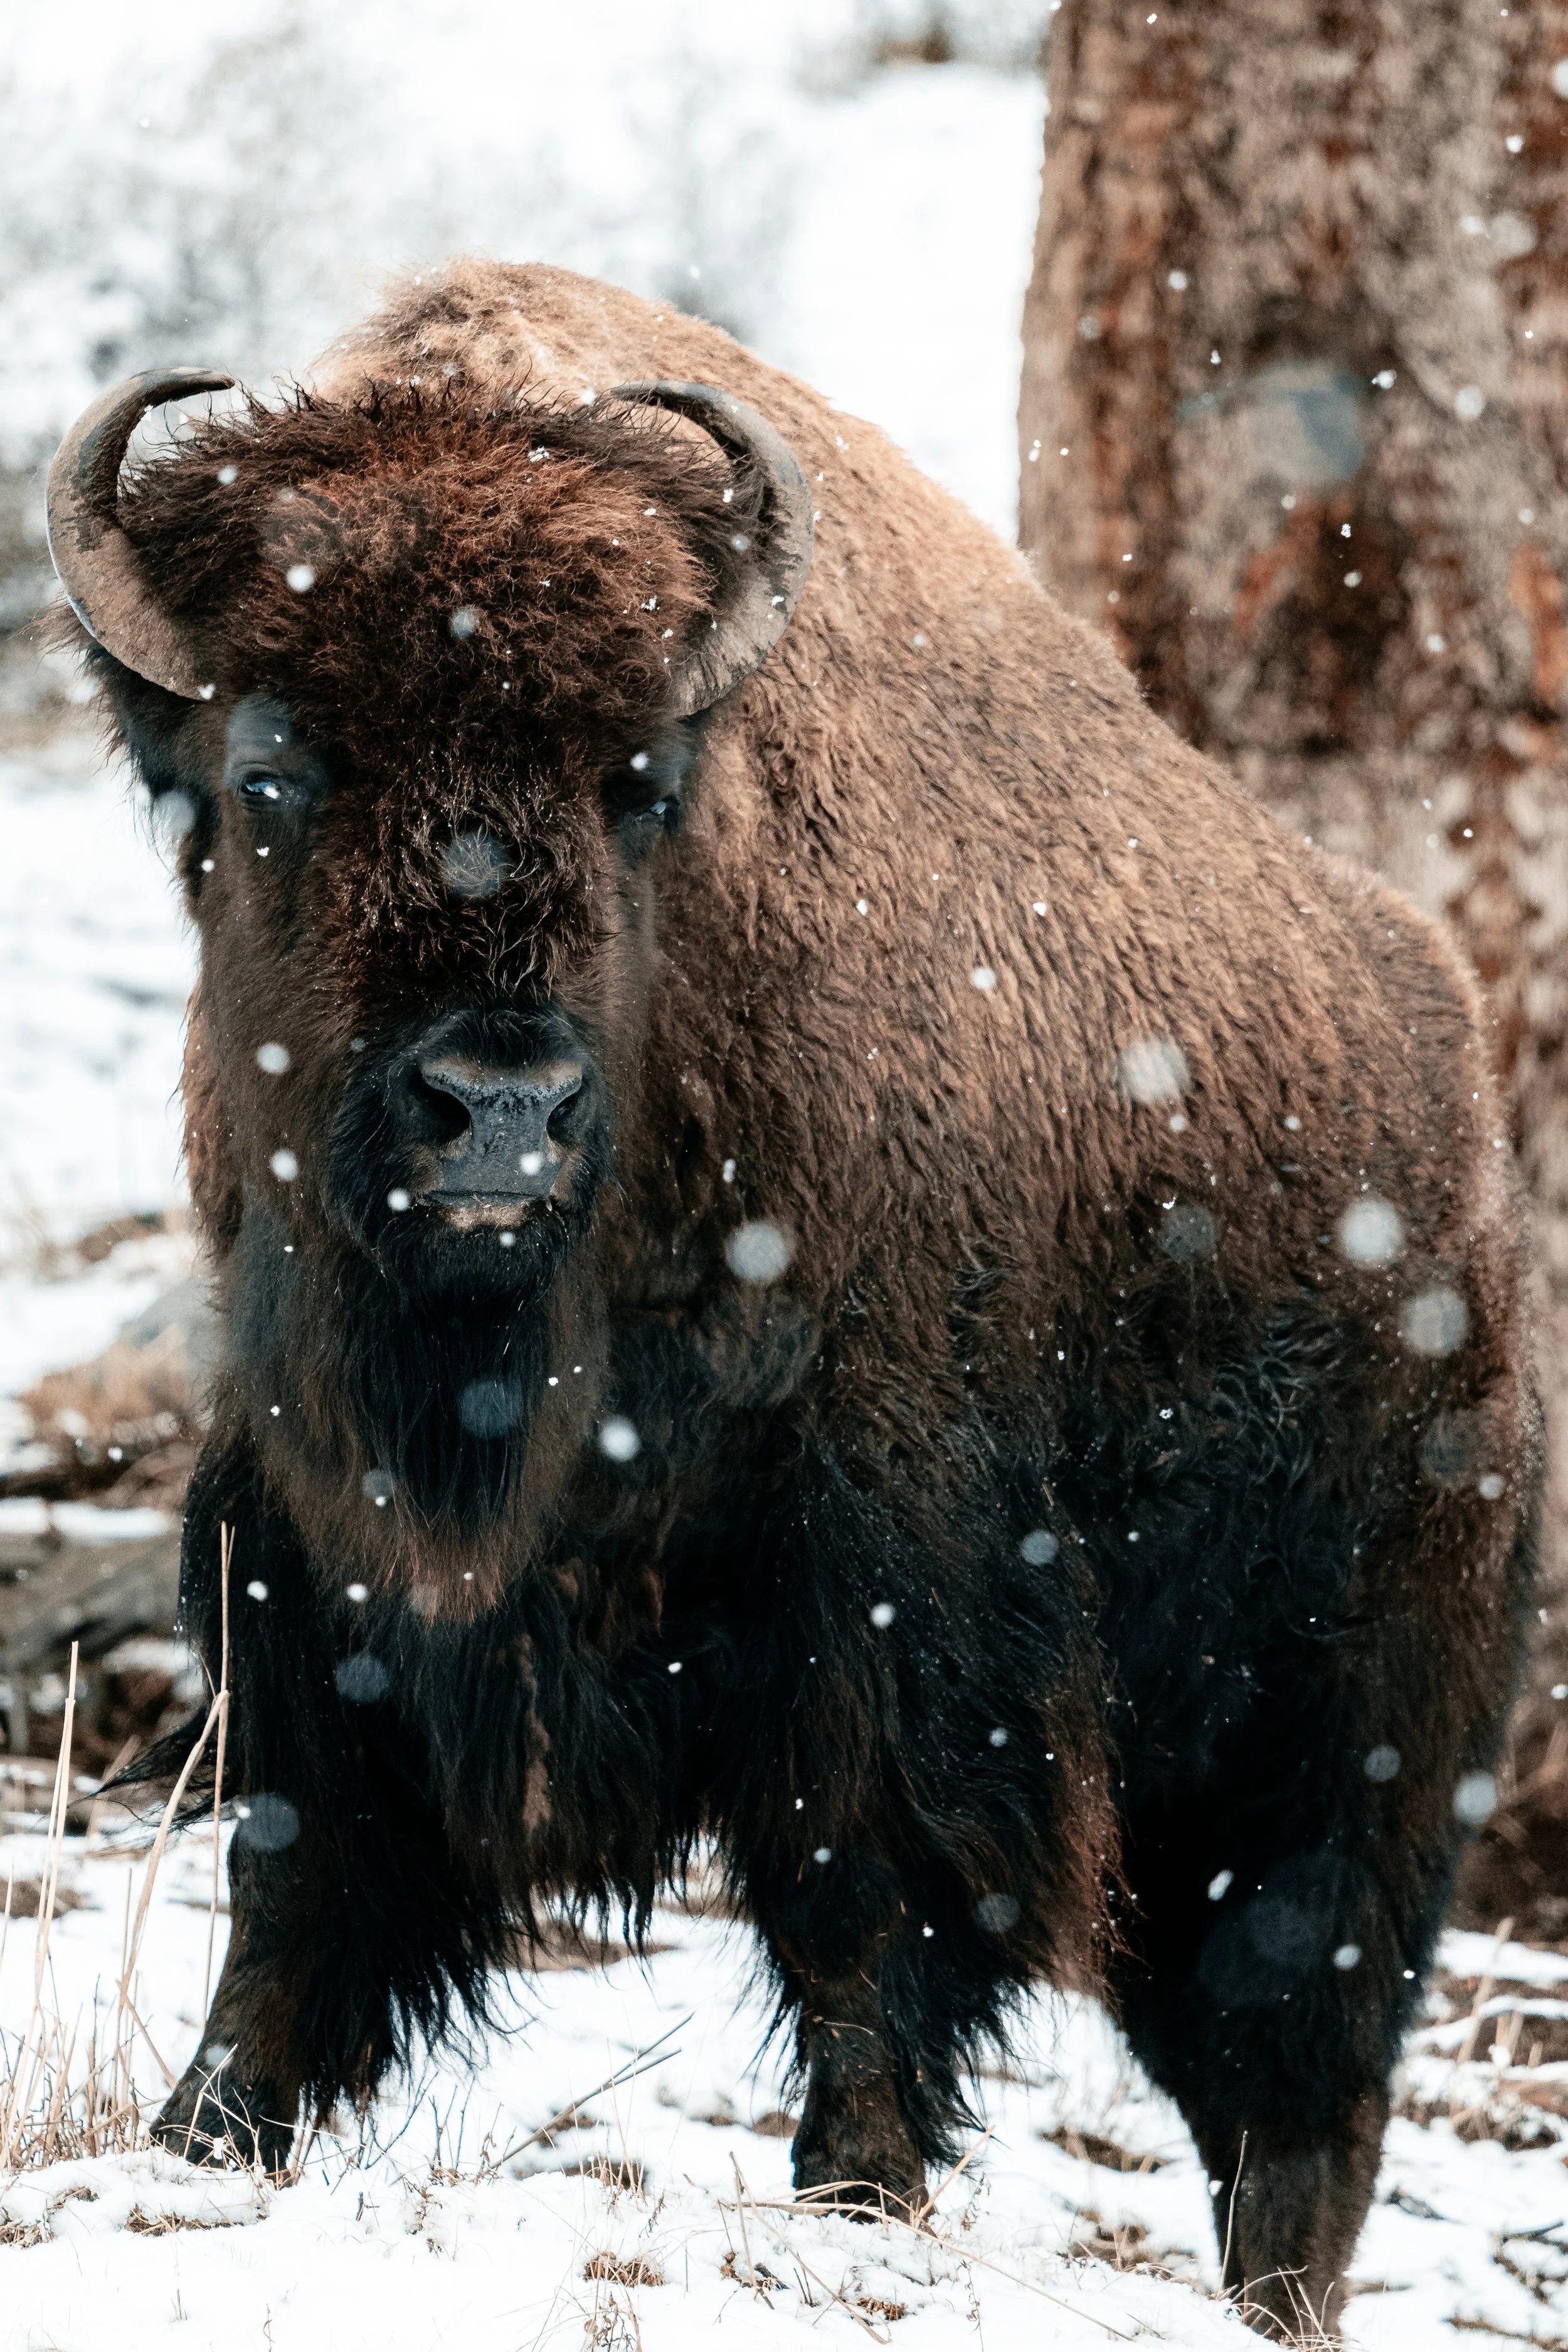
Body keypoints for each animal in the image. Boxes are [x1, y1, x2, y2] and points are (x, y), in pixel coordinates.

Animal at [48, 261, 1535, 2340]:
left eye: (640, 783)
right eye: (269, 767)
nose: (496, 1101)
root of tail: (1462, 1150)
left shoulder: (884, 1567)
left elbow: (861, 1884)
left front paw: (856, 2193)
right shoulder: (306, 1530)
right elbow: (302, 1860)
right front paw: (201, 2134)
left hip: (1356, 1719)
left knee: (1297, 2046)